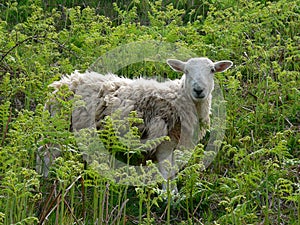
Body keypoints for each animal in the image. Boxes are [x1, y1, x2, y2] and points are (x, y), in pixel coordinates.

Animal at [37, 57, 233, 191]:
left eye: (212, 70)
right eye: (186, 71)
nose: (198, 90)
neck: (178, 98)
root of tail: (60, 84)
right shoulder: (165, 141)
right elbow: (166, 170)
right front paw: (169, 196)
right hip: (59, 125)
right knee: (47, 152)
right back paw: (46, 177)